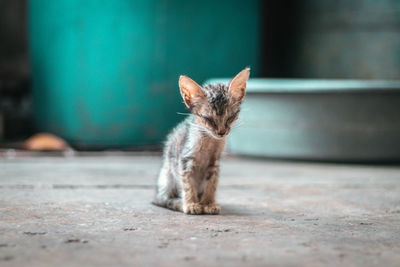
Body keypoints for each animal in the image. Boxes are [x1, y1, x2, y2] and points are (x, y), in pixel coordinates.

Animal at [153, 68, 250, 216]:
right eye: (208, 119)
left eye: (231, 117)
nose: (221, 132)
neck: (210, 141)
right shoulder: (185, 159)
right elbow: (187, 184)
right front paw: (191, 204)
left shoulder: (214, 163)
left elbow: (211, 184)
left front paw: (208, 203)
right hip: (166, 177)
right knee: (162, 199)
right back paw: (178, 203)